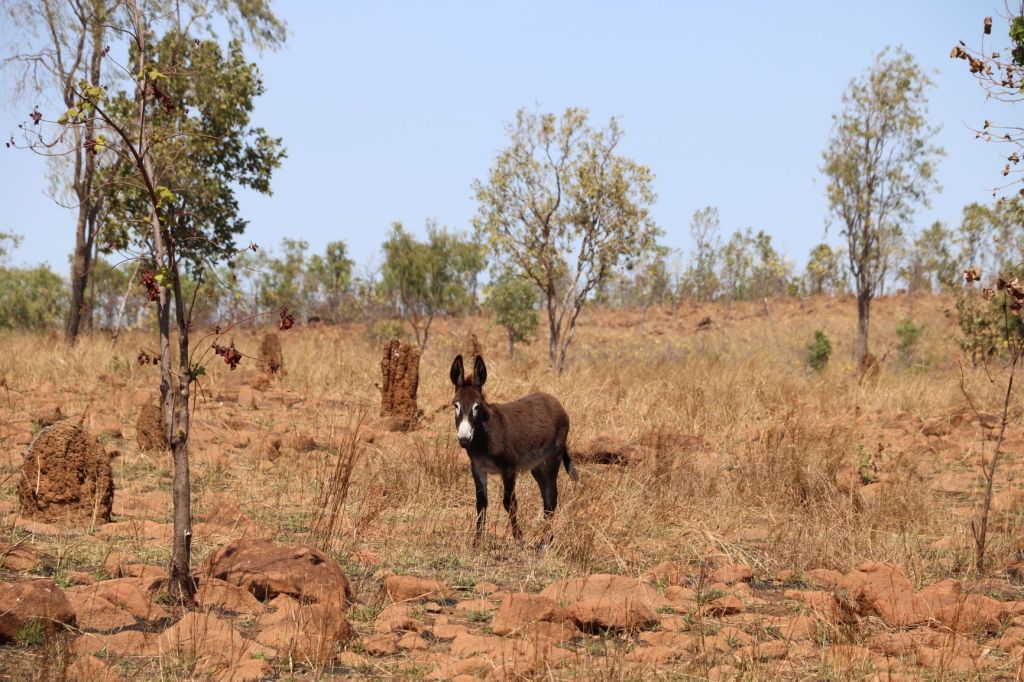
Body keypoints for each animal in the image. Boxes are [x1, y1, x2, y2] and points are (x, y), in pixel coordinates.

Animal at [449, 354, 578, 546]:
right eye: (455, 405)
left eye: (477, 406)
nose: (464, 439)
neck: (484, 436)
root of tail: (555, 402)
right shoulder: (478, 469)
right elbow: (481, 503)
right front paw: (477, 542)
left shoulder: (509, 469)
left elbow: (509, 503)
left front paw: (519, 539)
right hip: (536, 465)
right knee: (546, 496)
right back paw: (548, 537)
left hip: (553, 457)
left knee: (553, 497)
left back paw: (545, 541)